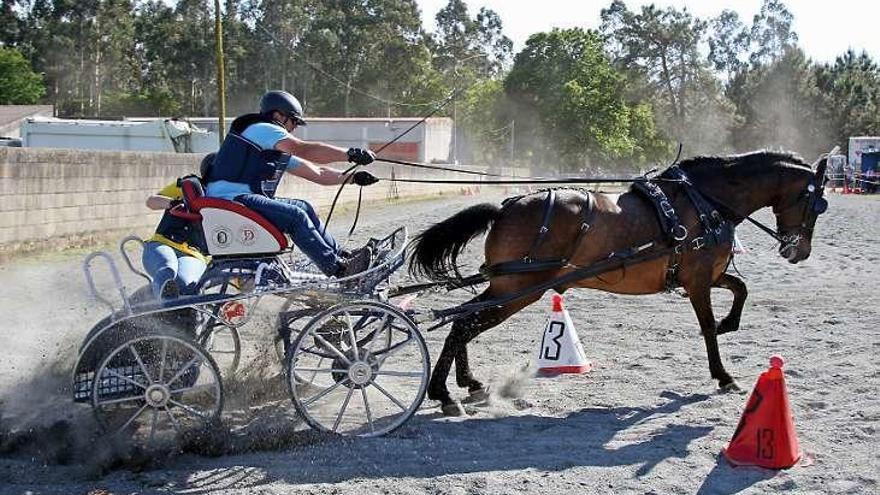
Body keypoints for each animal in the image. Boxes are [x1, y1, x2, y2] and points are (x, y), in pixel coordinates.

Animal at [410, 150, 828, 414]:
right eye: (816, 204)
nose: (798, 251)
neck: (704, 202)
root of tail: (505, 207)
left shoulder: (706, 275)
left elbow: (741, 289)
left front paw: (730, 324)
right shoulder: (697, 280)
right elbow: (708, 326)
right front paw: (723, 375)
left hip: (506, 288)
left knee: (462, 321)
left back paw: (467, 384)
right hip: (516, 290)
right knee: (464, 323)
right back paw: (444, 392)